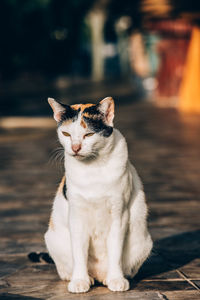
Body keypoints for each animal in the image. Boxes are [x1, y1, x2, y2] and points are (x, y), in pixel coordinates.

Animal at [45, 96, 152, 292]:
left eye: (88, 135)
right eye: (66, 134)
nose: (75, 147)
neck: (92, 168)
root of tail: (98, 275)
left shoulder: (119, 215)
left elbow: (115, 251)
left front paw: (116, 279)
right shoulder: (77, 217)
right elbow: (79, 252)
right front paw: (79, 281)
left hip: (144, 242)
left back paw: (111, 278)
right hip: (53, 238)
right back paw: (82, 277)